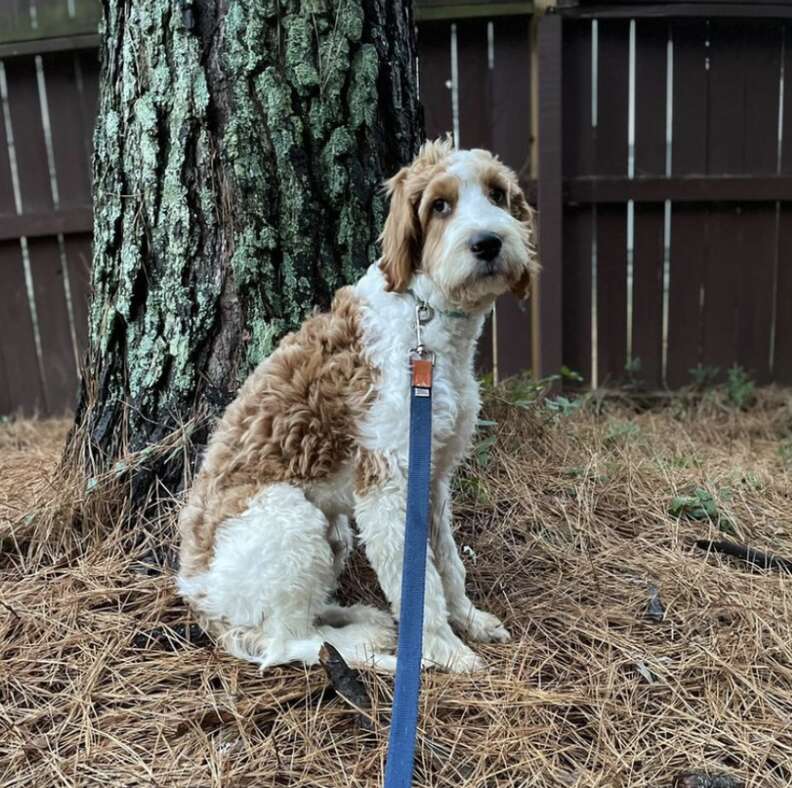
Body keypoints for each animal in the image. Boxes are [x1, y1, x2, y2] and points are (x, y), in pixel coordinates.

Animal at [178, 140, 540, 672]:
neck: (423, 317)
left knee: (301, 621)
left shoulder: (433, 476)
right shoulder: (386, 485)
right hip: (291, 519)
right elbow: (418, 585)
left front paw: (470, 620)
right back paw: (367, 646)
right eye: (440, 205)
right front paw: (445, 652)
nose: (488, 242)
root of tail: (199, 600)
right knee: (285, 642)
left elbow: (448, 563)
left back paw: (360, 618)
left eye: (497, 194)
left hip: (333, 532)